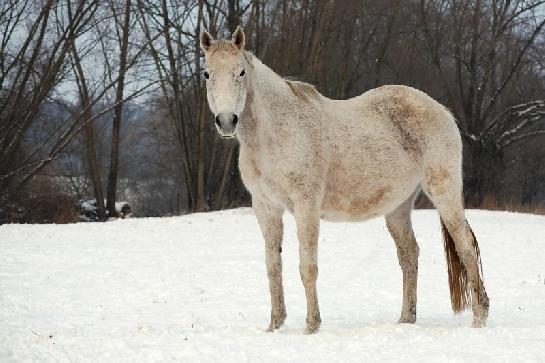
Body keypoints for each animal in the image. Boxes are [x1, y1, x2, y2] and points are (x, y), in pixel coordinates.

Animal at [200, 26, 488, 336]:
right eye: (206, 74)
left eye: (241, 72)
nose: (226, 121)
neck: (276, 134)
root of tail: (442, 111)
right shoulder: (266, 209)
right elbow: (273, 267)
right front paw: (274, 325)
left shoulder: (306, 208)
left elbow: (308, 267)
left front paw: (311, 326)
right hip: (398, 207)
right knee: (409, 254)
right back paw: (405, 320)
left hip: (444, 192)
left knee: (466, 246)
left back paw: (479, 318)